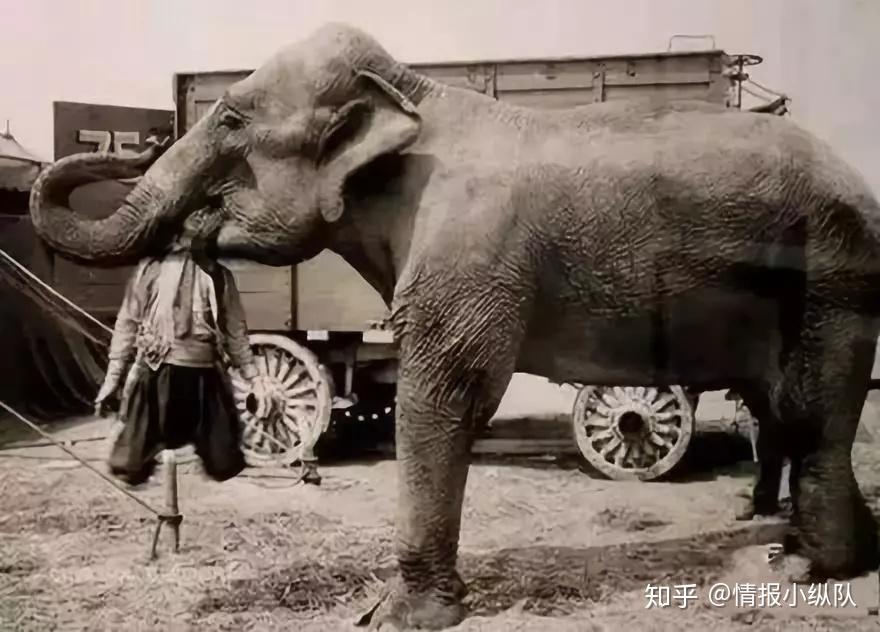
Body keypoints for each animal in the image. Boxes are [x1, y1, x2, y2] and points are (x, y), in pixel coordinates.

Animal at [30, 22, 880, 630]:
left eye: (233, 119)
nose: (126, 142)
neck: (415, 97)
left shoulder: (467, 251)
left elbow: (447, 395)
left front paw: (396, 617)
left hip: (833, 279)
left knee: (806, 415)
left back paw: (805, 568)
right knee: (785, 412)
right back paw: (810, 550)